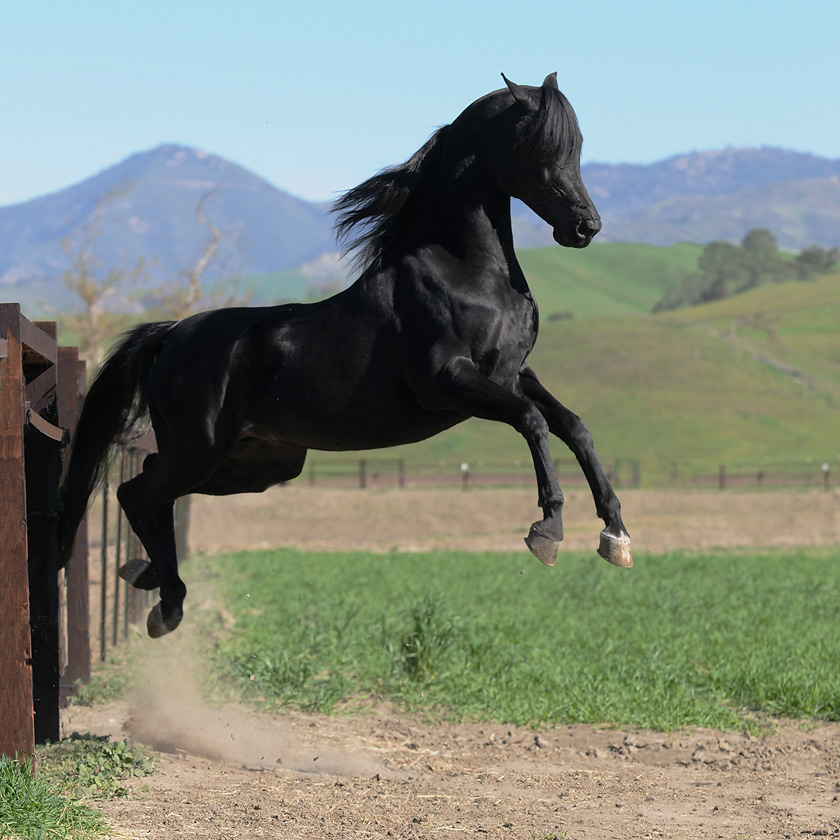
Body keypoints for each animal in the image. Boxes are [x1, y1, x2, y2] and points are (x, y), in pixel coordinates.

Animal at [59, 74, 632, 636]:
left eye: (577, 145)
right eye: (536, 145)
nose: (585, 227)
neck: (466, 274)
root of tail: (173, 333)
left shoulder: (513, 374)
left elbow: (573, 426)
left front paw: (616, 535)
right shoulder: (449, 382)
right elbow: (533, 421)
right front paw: (548, 530)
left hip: (251, 463)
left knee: (149, 487)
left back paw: (146, 578)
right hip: (200, 451)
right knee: (135, 494)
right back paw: (168, 602)